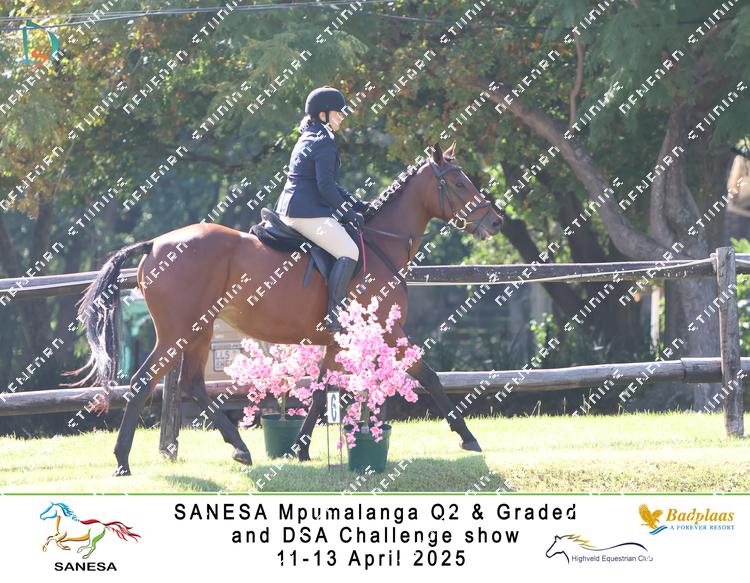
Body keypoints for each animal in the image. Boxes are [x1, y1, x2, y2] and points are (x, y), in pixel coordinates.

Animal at [65, 141, 505, 476]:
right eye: (459, 182)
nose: (497, 222)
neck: (381, 244)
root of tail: (155, 243)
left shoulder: (337, 343)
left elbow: (321, 391)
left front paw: (301, 449)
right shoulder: (387, 331)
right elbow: (428, 375)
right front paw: (468, 437)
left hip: (199, 330)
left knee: (191, 383)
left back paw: (239, 448)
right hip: (179, 330)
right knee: (145, 381)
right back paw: (123, 461)